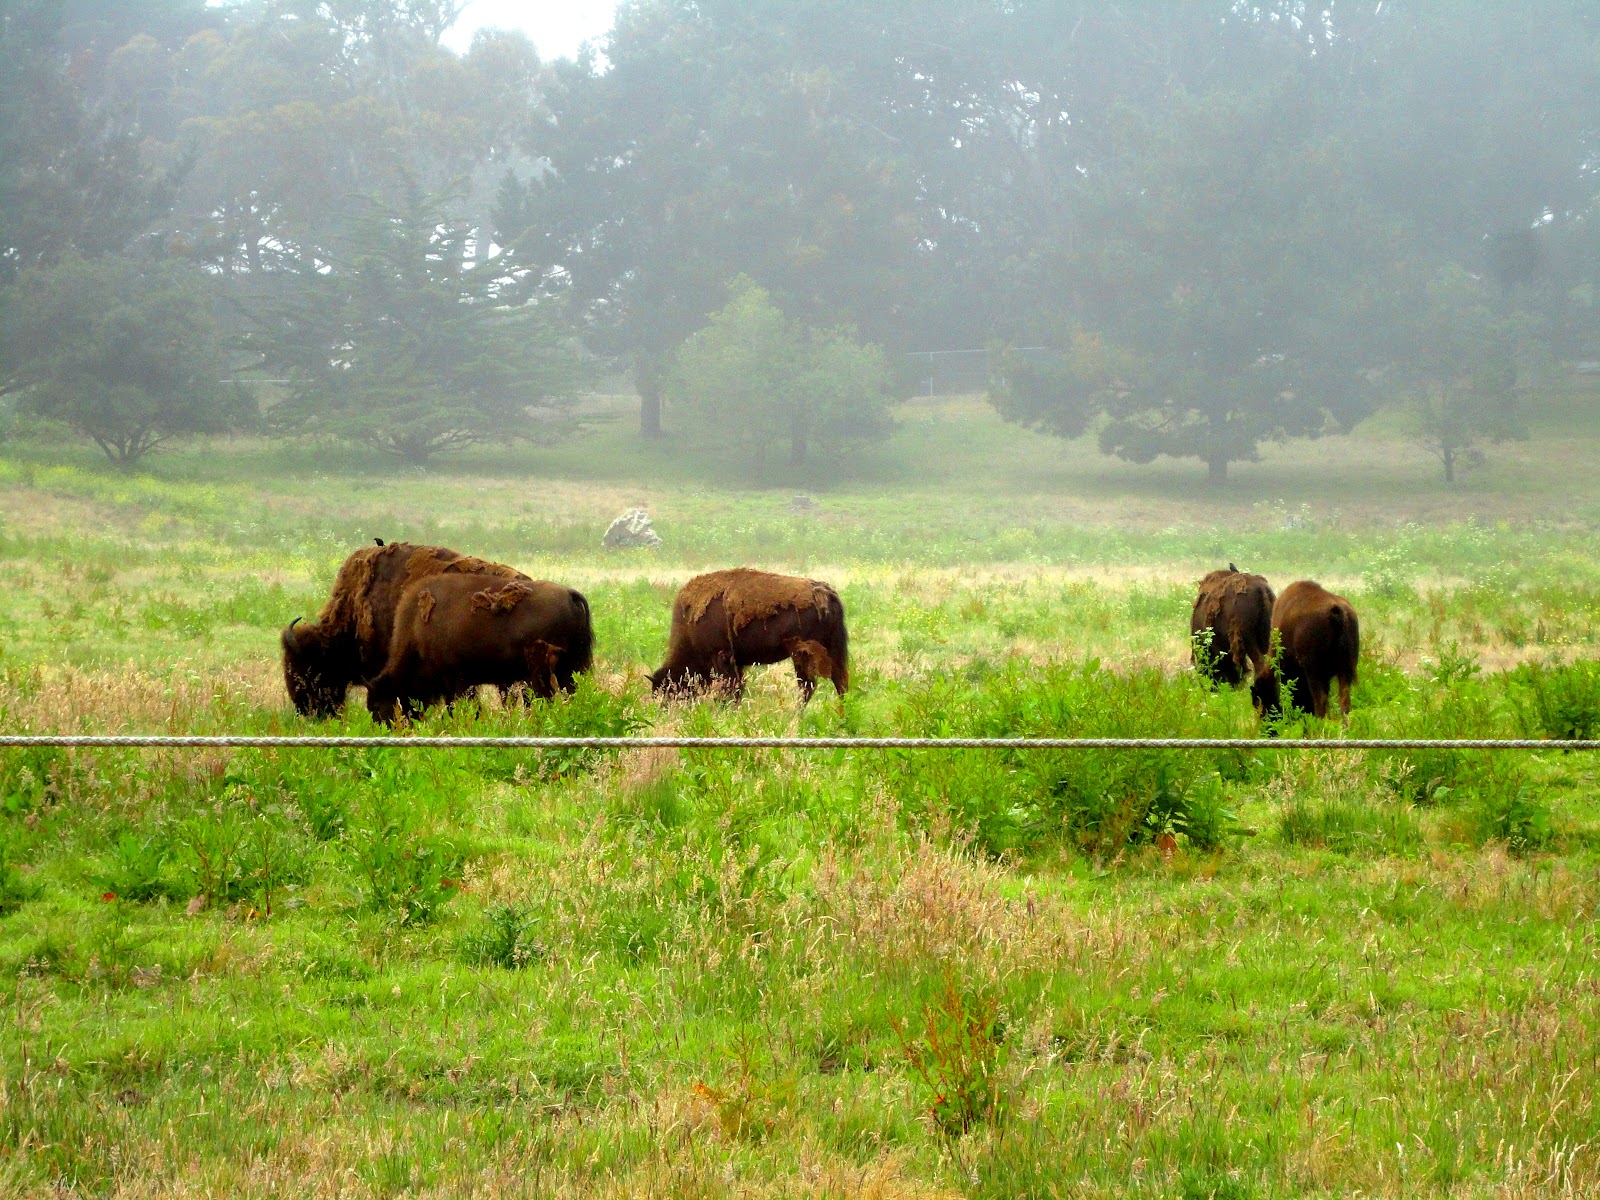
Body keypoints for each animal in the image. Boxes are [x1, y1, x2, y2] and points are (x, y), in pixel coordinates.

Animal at [364, 574, 593, 724]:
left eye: (376, 706)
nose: (386, 729)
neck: (416, 627)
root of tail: (569, 594)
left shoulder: (455, 681)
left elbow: (458, 706)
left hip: (540, 672)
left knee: (544, 698)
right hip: (570, 667)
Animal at [650, 568, 848, 703]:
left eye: (667, 689)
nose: (664, 709)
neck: (688, 627)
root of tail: (826, 593)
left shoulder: (721, 657)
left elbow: (730, 688)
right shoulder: (736, 663)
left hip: (801, 652)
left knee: (808, 686)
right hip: (831, 649)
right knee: (839, 682)